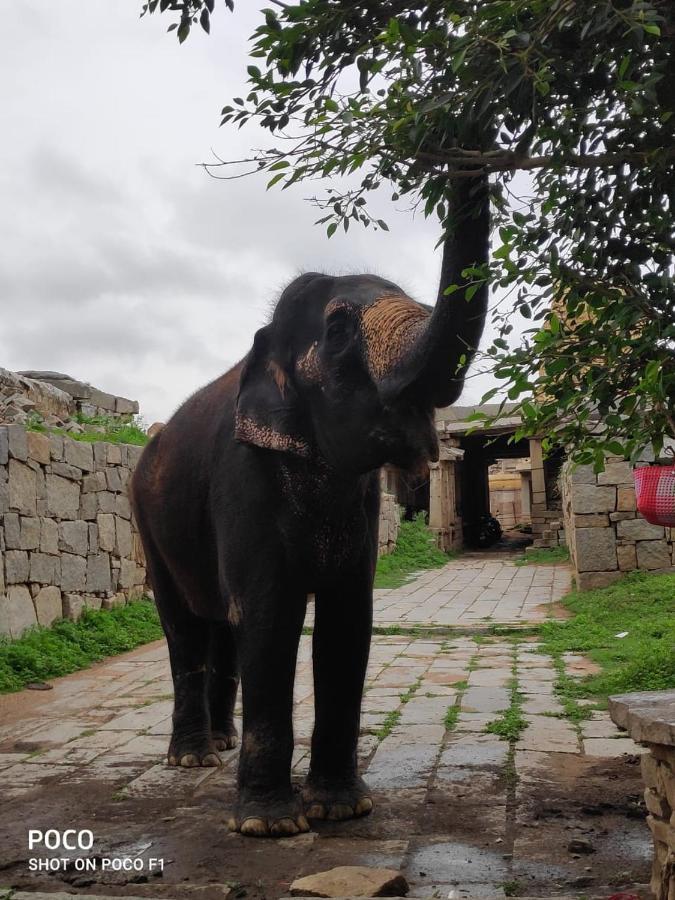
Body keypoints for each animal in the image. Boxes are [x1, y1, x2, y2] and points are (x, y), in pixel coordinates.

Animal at [131, 174, 492, 836]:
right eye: (340, 331)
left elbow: (349, 618)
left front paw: (343, 810)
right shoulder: (243, 474)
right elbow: (271, 616)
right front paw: (270, 826)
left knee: (223, 624)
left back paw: (222, 744)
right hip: (147, 520)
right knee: (185, 626)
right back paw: (194, 758)